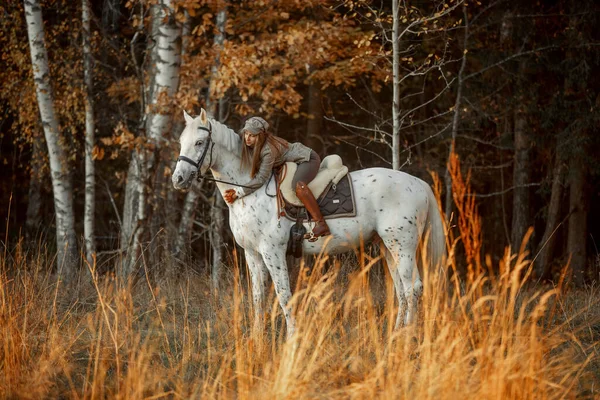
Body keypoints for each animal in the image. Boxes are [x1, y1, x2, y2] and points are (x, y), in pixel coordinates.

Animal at [171, 109, 442, 338]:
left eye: (199, 143)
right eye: (182, 141)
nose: (178, 179)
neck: (249, 192)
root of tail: (418, 183)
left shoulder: (273, 252)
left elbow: (283, 295)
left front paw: (292, 337)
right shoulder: (252, 253)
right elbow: (258, 297)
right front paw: (257, 340)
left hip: (403, 246)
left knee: (413, 287)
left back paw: (407, 337)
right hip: (388, 246)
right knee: (401, 288)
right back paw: (396, 334)